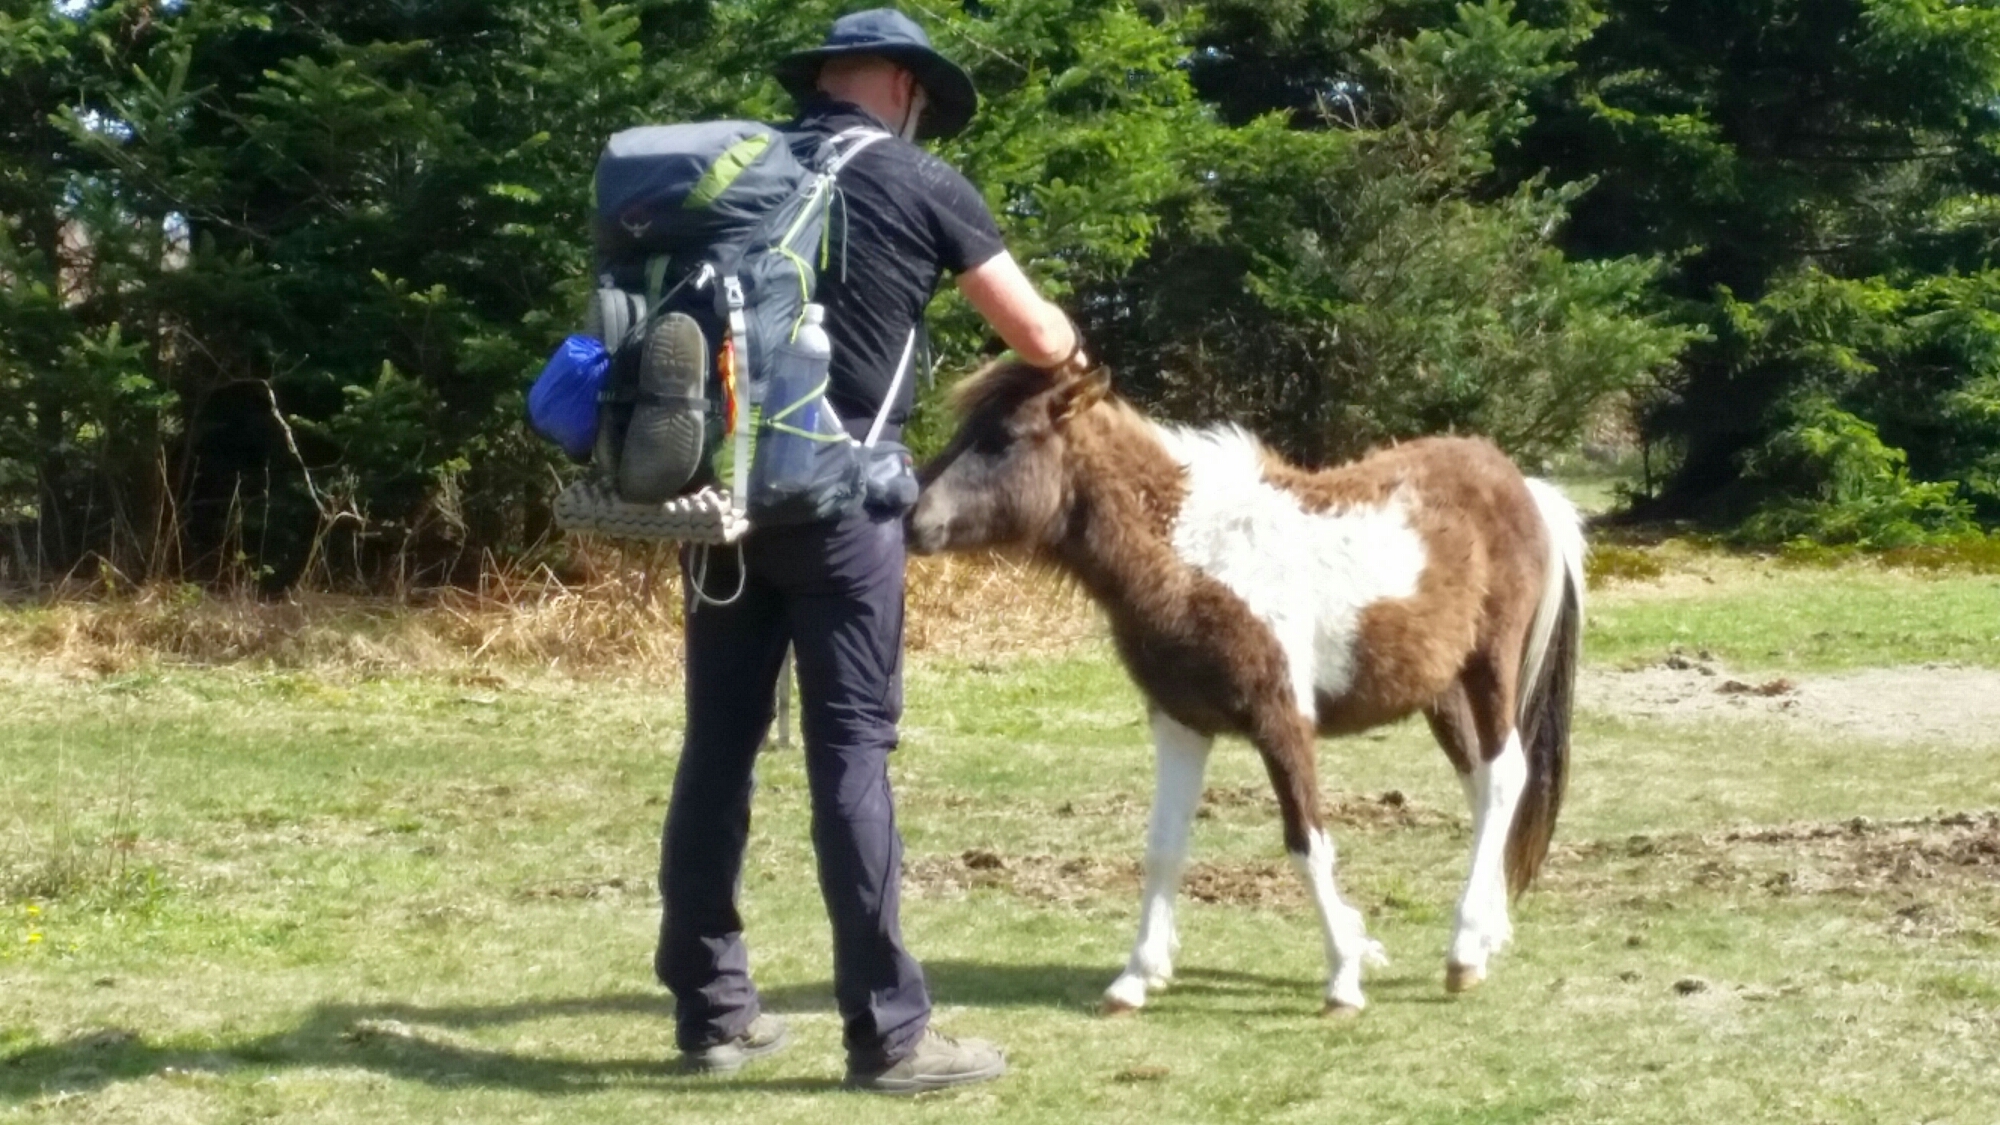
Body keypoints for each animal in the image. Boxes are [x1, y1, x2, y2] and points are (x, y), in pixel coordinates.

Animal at [907, 360, 1586, 1016]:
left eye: (1004, 439)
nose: (913, 520)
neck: (1192, 559)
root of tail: (1524, 487)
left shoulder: (1280, 719)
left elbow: (1307, 843)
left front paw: (1344, 976)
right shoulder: (1179, 723)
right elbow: (1164, 845)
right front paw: (1136, 978)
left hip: (1490, 665)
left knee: (1504, 775)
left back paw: (1464, 951)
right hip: (1439, 690)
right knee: (1480, 785)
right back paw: (1486, 937)